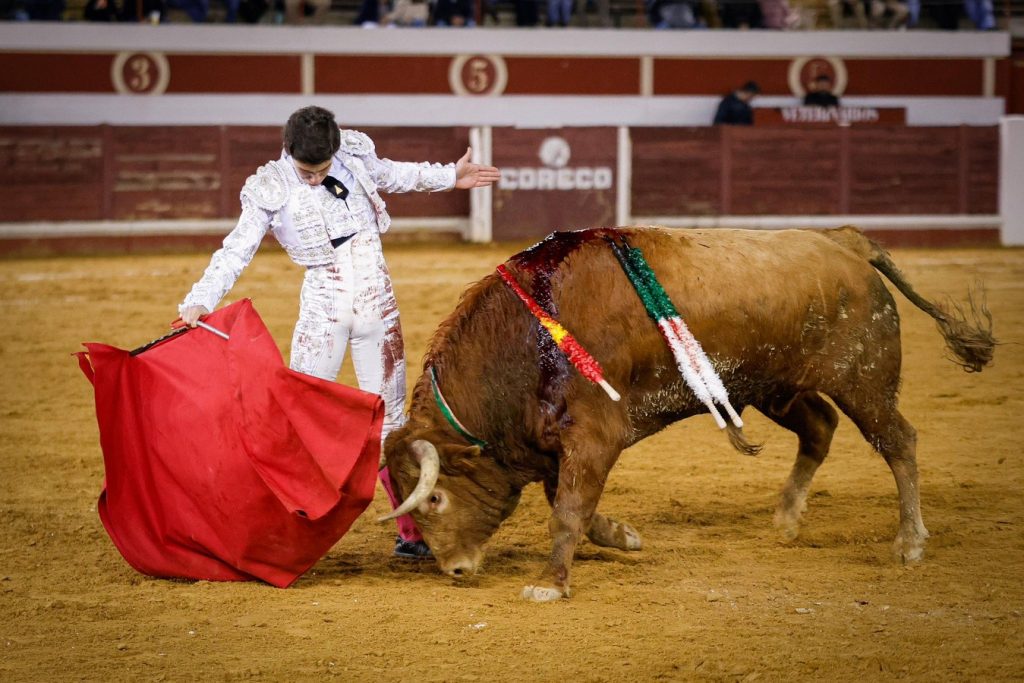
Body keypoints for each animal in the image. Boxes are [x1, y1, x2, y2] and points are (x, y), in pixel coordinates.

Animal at [381, 226, 994, 601]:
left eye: (434, 499)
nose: (456, 569)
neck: (530, 335)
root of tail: (846, 243)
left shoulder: (594, 435)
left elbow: (568, 511)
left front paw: (550, 584)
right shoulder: (560, 441)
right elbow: (570, 502)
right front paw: (623, 535)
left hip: (864, 382)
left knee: (899, 443)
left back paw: (910, 542)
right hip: (776, 387)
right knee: (820, 429)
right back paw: (786, 518)